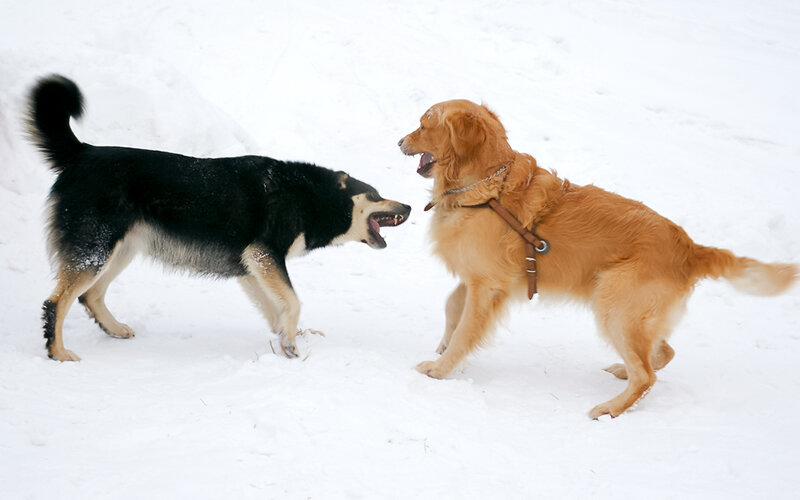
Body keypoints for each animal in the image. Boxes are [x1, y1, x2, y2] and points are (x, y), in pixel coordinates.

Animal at [28, 75, 410, 360]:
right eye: (375, 194)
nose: (407, 207)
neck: (313, 196)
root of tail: (82, 153)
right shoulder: (265, 254)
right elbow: (293, 301)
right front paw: (291, 344)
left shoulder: (252, 266)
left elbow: (277, 308)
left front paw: (287, 340)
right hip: (96, 247)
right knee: (56, 302)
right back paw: (58, 352)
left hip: (121, 248)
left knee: (89, 296)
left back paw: (114, 328)